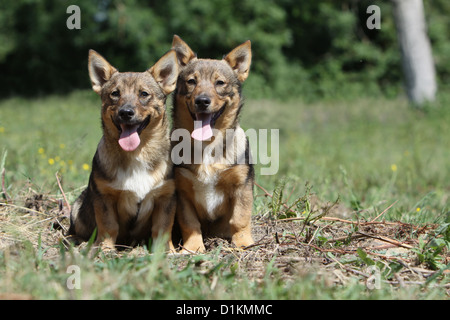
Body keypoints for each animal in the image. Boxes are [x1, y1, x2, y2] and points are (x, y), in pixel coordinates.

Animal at [67, 48, 178, 251]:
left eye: (144, 94)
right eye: (115, 94)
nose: (125, 112)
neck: (137, 154)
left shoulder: (165, 197)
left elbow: (163, 228)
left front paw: (166, 251)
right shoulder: (104, 197)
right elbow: (109, 225)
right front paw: (105, 249)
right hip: (77, 209)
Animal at [171, 35, 255, 252]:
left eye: (220, 82)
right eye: (191, 81)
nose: (202, 101)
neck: (207, 146)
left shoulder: (242, 185)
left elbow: (240, 218)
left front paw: (243, 242)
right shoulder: (182, 191)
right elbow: (190, 224)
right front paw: (193, 247)